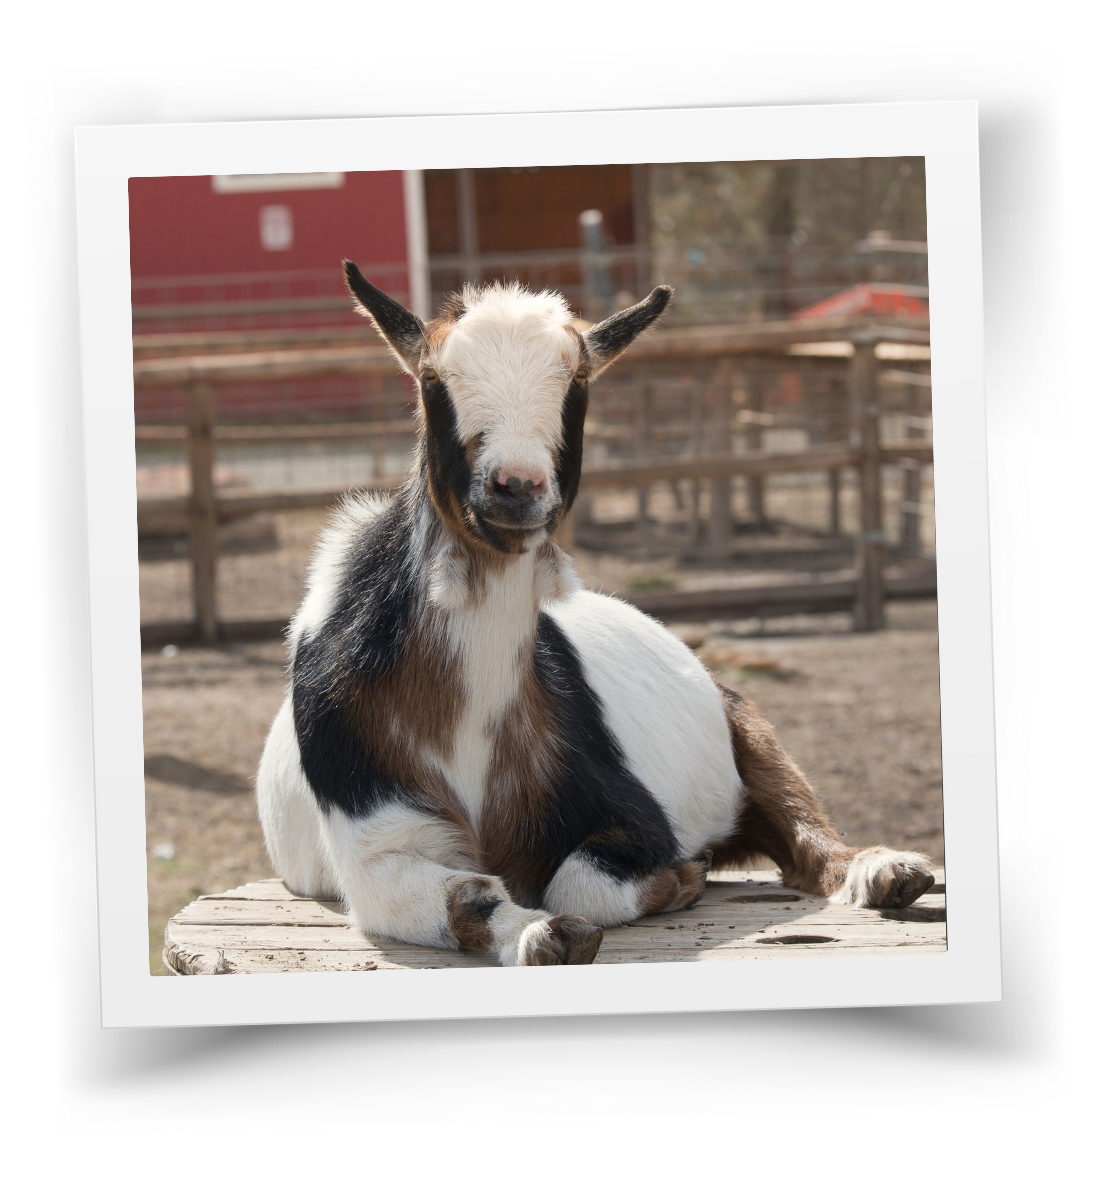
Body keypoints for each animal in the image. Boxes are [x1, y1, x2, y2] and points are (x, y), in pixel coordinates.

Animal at [256, 262, 935, 966]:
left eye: (578, 380)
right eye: (432, 379)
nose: (517, 486)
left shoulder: (632, 813)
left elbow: (580, 881)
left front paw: (681, 878)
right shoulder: (374, 840)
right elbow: (467, 894)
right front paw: (542, 934)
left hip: (744, 721)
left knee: (803, 827)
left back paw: (884, 872)